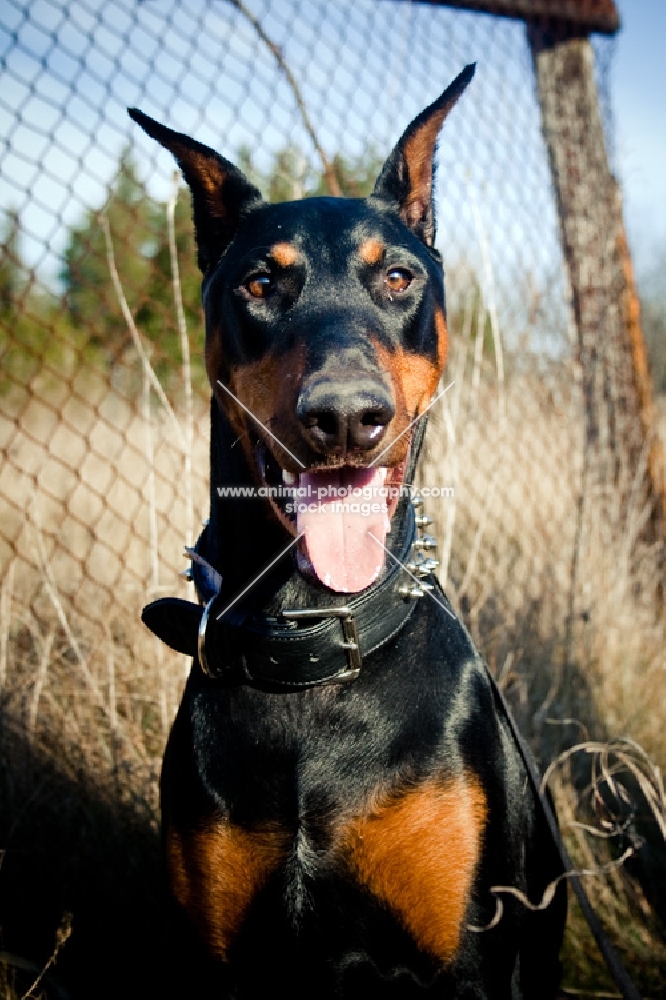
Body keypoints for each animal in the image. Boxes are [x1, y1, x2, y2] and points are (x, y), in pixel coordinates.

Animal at [132, 66, 564, 996]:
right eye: (260, 283)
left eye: (398, 276)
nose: (342, 416)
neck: (315, 647)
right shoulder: (213, 951)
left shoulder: (468, 960)